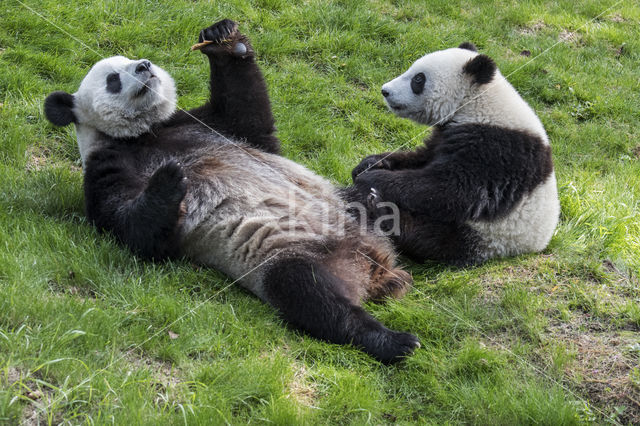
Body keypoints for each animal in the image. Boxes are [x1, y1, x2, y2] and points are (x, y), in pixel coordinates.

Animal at [42, 20, 418, 362]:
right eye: (113, 79)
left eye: (135, 58)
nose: (144, 67)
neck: (144, 132)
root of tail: (377, 267)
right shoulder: (108, 164)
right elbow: (132, 229)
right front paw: (169, 179)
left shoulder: (204, 124)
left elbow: (252, 120)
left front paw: (223, 39)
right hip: (295, 256)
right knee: (311, 294)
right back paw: (394, 341)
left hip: (341, 205)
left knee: (376, 206)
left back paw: (374, 202)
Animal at [350, 41, 560, 264]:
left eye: (418, 79)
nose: (385, 91)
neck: (478, 104)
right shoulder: (445, 135)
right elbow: (422, 158)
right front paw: (370, 164)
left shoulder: (497, 150)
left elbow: (451, 188)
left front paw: (373, 178)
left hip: (487, 236)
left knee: (430, 238)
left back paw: (381, 208)